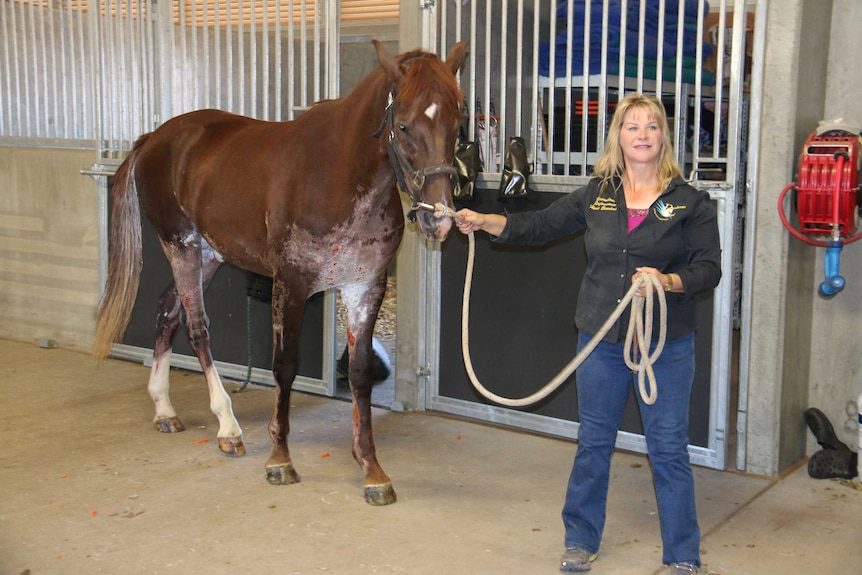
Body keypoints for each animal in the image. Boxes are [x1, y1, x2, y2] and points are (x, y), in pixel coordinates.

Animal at [92, 40, 470, 504]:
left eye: (458, 119)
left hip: (209, 254)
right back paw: (227, 427)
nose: (441, 219)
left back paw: (164, 409)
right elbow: (284, 366)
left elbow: (360, 375)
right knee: (196, 327)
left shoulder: (364, 287)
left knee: (167, 310)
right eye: (403, 125)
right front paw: (279, 460)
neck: (337, 175)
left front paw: (371, 469)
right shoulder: (291, 284)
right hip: (180, 244)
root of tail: (154, 138)